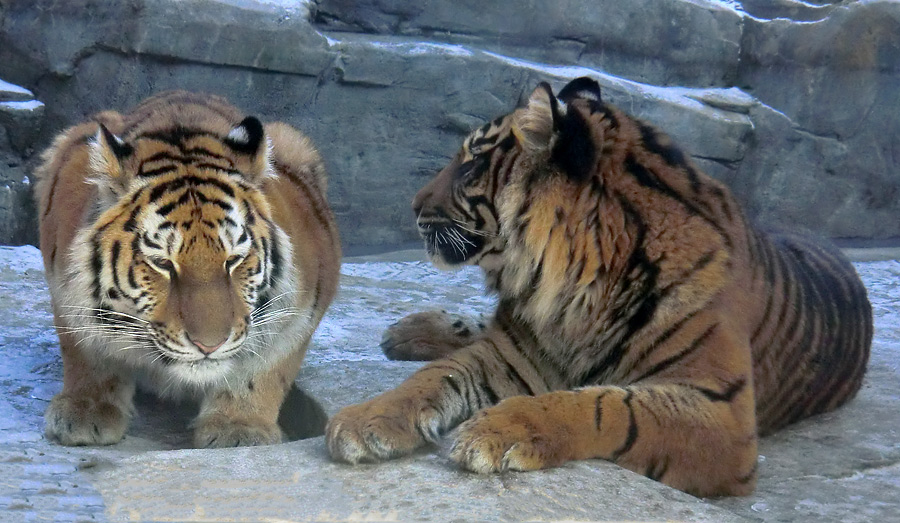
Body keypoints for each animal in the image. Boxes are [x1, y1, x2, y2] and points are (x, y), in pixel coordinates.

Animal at [33, 91, 340, 450]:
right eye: (163, 263)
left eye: (233, 260)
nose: (209, 346)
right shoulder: (64, 284)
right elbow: (86, 349)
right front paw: (87, 410)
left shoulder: (303, 302)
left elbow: (264, 365)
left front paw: (238, 427)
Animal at [326, 77, 876, 496]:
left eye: (471, 163)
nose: (414, 205)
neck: (568, 290)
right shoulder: (508, 353)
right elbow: (436, 376)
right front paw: (365, 419)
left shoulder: (724, 413)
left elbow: (604, 405)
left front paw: (500, 428)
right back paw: (408, 332)